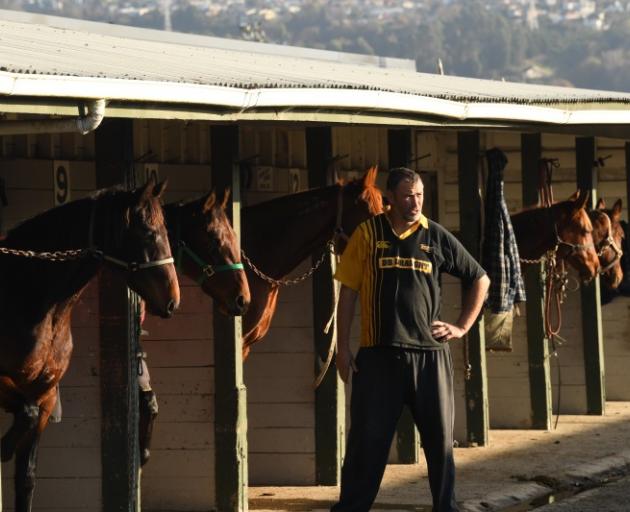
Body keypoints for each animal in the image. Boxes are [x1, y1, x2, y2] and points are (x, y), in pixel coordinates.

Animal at [0, 179, 180, 512]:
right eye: (148, 232)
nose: (172, 300)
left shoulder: (43, 396)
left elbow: (26, 478)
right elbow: (24, 414)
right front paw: (3, 446)